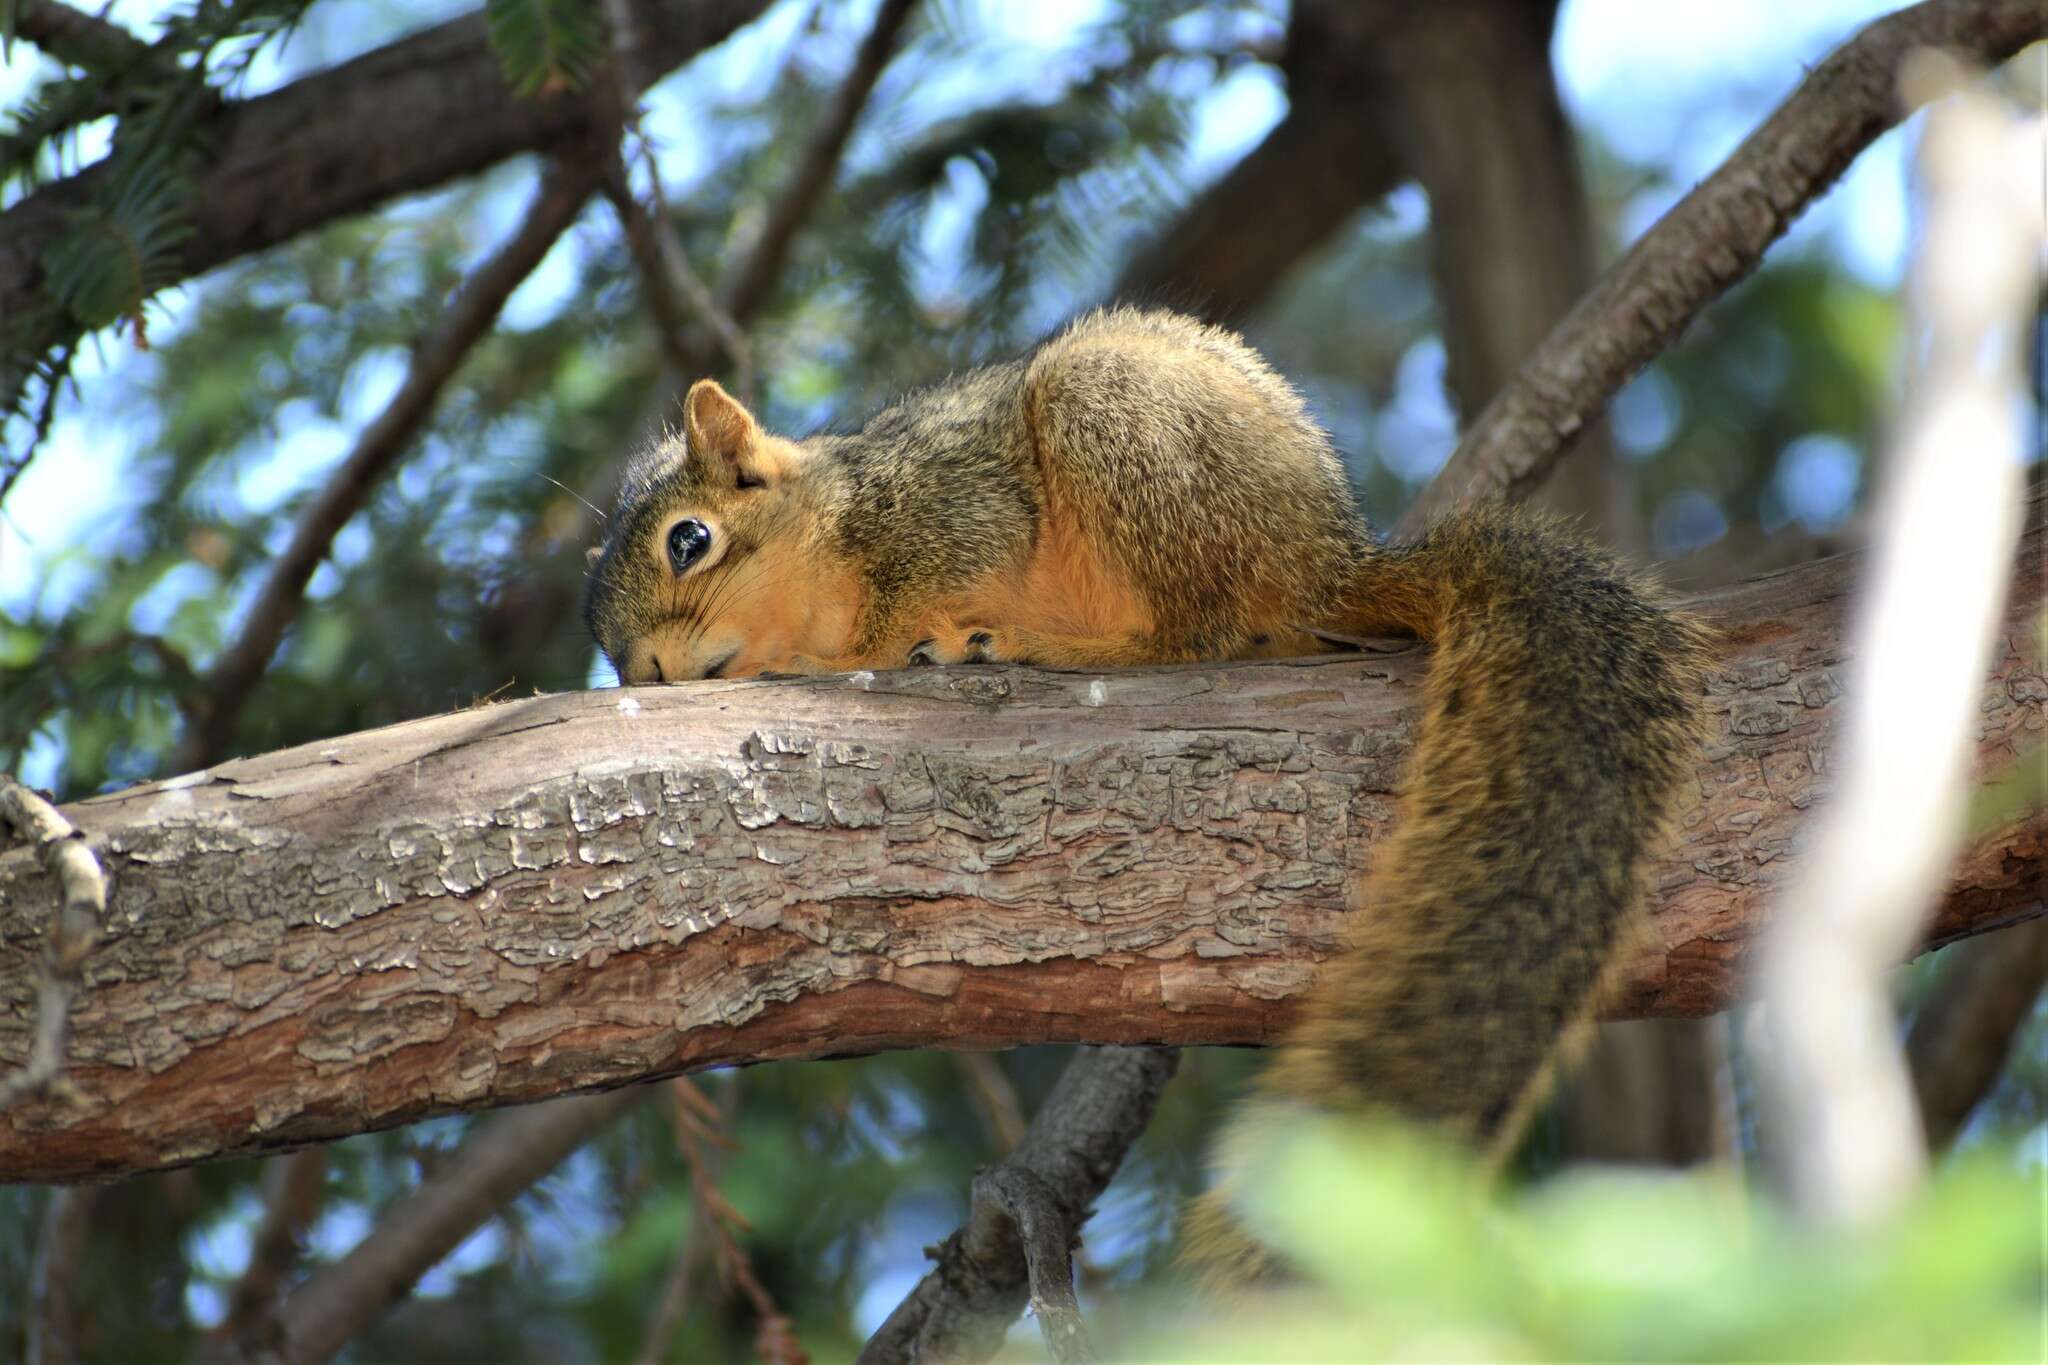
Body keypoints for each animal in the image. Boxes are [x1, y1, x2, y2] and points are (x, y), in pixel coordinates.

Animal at [589, 306, 1712, 1268]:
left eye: (689, 540)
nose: (642, 673)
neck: (831, 538)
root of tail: (1327, 561)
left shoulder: (953, 511)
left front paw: (861, 647)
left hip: (1116, 423)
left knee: (1191, 632)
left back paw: (1037, 642)